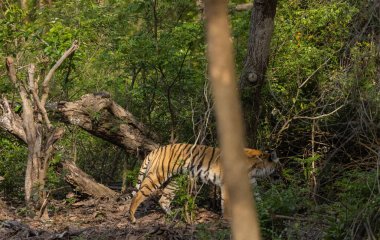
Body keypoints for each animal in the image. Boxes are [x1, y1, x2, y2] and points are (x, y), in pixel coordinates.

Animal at [127, 142, 280, 223]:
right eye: (279, 165)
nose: (281, 176)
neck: (255, 169)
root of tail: (157, 149)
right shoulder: (226, 183)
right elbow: (226, 202)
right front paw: (228, 219)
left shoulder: (252, 182)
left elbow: (259, 197)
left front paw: (265, 210)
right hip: (157, 176)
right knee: (139, 195)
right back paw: (132, 218)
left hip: (175, 181)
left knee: (163, 199)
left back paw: (174, 216)